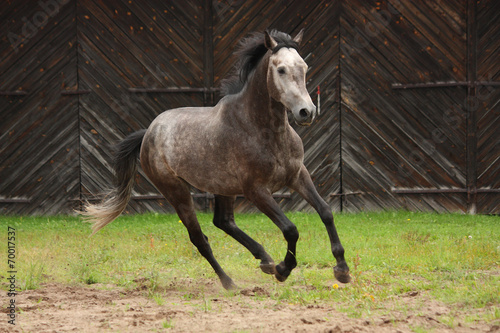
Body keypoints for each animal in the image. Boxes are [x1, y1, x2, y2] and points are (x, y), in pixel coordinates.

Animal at [80, 29, 350, 290]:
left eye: (304, 66)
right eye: (281, 69)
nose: (306, 112)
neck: (262, 129)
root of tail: (148, 132)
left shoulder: (297, 175)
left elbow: (326, 212)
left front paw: (342, 269)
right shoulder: (256, 191)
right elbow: (290, 229)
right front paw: (283, 270)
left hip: (223, 188)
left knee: (223, 221)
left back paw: (264, 259)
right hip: (177, 192)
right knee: (200, 238)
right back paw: (230, 282)